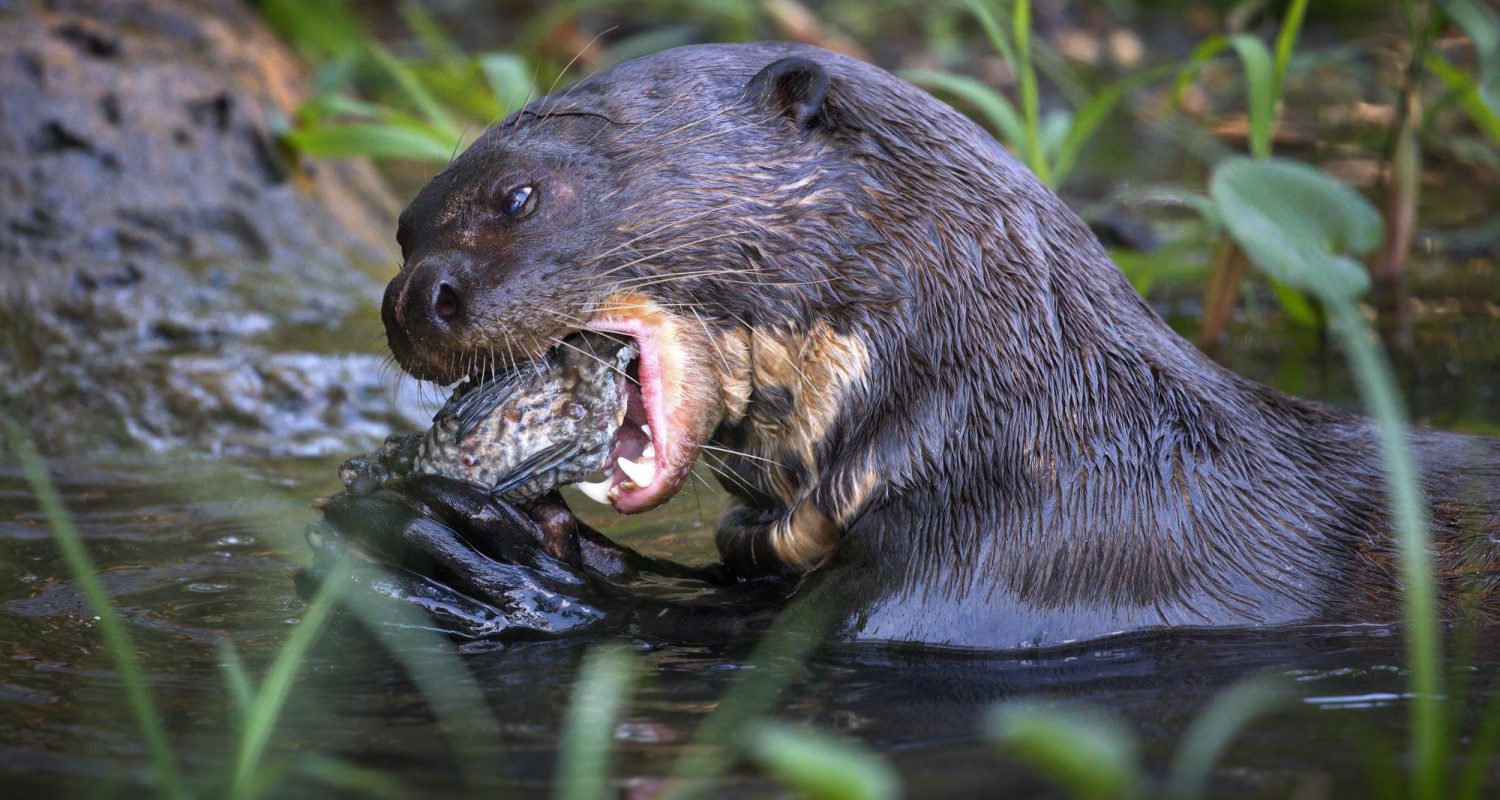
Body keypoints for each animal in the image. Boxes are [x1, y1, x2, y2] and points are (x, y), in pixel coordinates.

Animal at [314, 42, 1500, 649]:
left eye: (517, 197)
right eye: (404, 227)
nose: (412, 295)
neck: (1036, 431)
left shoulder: (1016, 575)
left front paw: (477, 560)